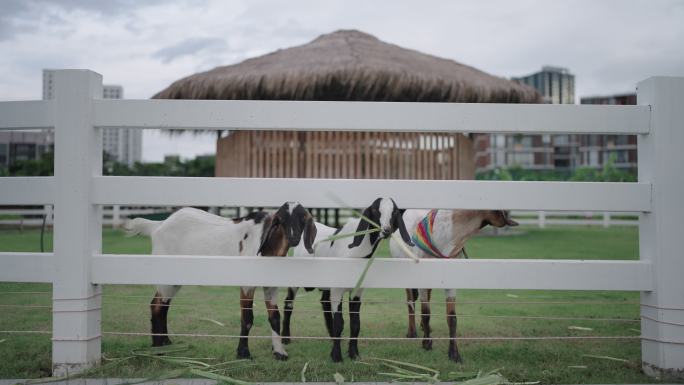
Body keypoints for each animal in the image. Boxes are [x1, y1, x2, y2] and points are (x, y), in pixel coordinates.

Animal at [124, 202, 316, 362]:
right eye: (281, 220)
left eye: (302, 219)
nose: (294, 239)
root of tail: (157, 225)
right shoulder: (247, 284)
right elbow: (247, 318)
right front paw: (243, 353)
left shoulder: (271, 285)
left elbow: (275, 317)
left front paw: (279, 352)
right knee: (157, 306)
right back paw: (158, 348)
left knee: (162, 305)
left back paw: (165, 343)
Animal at [288, 196, 412, 362]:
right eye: (375, 210)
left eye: (394, 212)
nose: (386, 230)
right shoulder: (337, 289)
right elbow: (339, 322)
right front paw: (337, 356)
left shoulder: (357, 291)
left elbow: (355, 323)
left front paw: (354, 354)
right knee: (288, 304)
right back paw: (285, 339)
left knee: (324, 303)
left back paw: (331, 338)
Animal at [388, 207, 516, 360]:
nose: (509, 218)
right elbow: (426, 313)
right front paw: (427, 343)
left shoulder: (450, 281)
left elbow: (452, 318)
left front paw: (454, 353)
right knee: (410, 301)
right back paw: (412, 332)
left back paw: (424, 327)